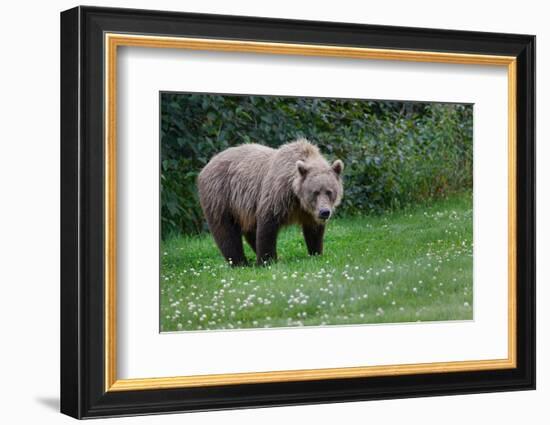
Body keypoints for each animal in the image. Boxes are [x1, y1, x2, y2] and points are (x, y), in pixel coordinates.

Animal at [198, 138, 344, 264]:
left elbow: (314, 231)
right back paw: (239, 262)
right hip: (221, 195)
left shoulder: (308, 212)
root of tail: (206, 165)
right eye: (315, 192)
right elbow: (267, 226)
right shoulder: (278, 195)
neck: (297, 198)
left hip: (245, 205)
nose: (324, 212)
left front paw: (316, 253)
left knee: (249, 230)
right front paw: (266, 260)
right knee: (226, 231)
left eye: (329, 191)